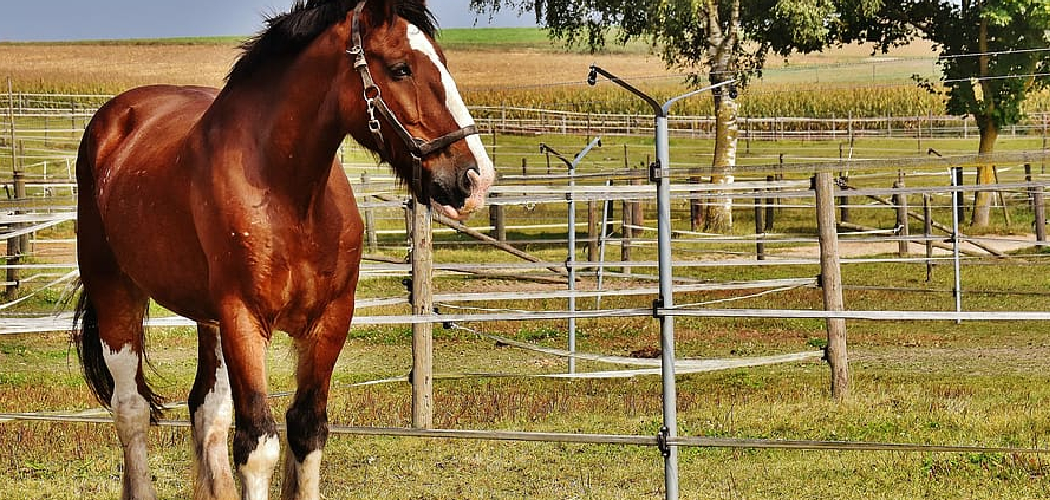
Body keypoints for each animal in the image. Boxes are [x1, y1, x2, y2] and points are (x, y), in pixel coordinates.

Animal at [72, 0, 491, 500]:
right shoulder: (243, 320)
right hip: (116, 293)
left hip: (206, 319)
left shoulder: (329, 320)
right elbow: (258, 445)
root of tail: (115, 119)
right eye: (400, 68)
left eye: (443, 61)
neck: (290, 197)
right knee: (131, 409)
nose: (474, 178)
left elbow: (307, 430)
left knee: (207, 410)